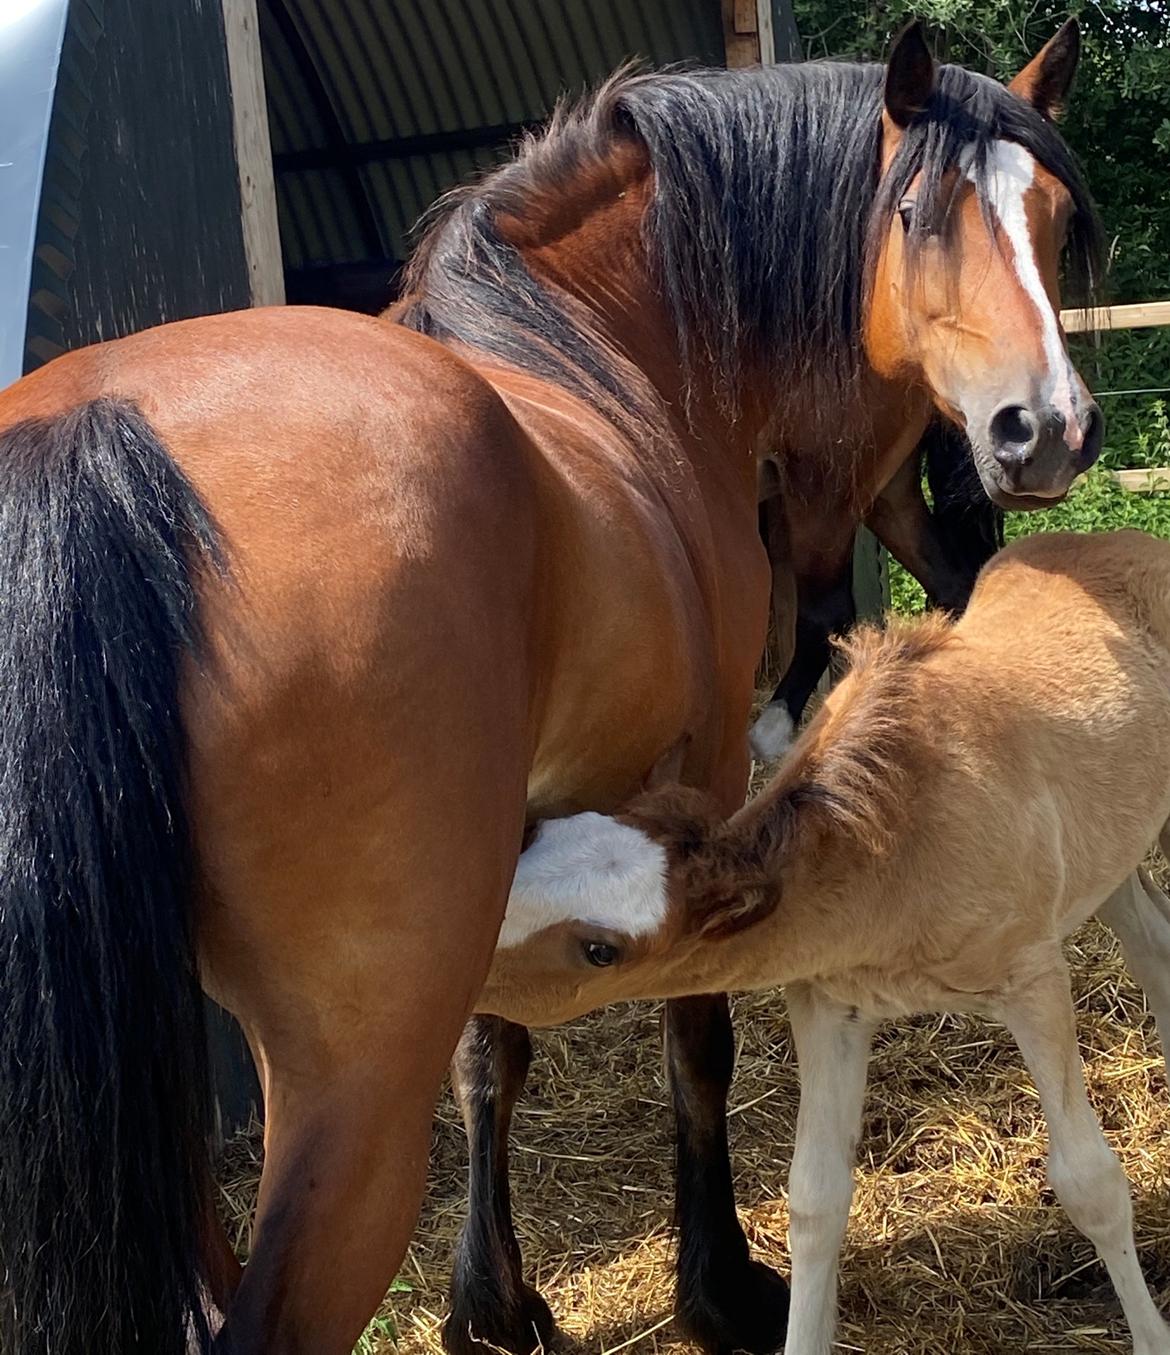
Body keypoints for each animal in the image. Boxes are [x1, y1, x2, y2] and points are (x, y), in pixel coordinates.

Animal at [0, 23, 1100, 1355]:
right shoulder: (699, 768)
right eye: (912, 214)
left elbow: (495, 1052)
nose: (1045, 429)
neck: (598, 348)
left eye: (1051, 217)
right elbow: (696, 1031)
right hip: (351, 1089)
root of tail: (94, 434)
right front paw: (718, 1286)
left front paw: (494, 1300)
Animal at [482, 528, 1170, 1355]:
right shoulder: (828, 1003)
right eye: (533, 839)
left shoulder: (1032, 980)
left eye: (599, 949)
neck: (898, 841)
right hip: (1110, 852)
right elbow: (814, 1202)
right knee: (1156, 944)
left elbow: (1090, 1183)